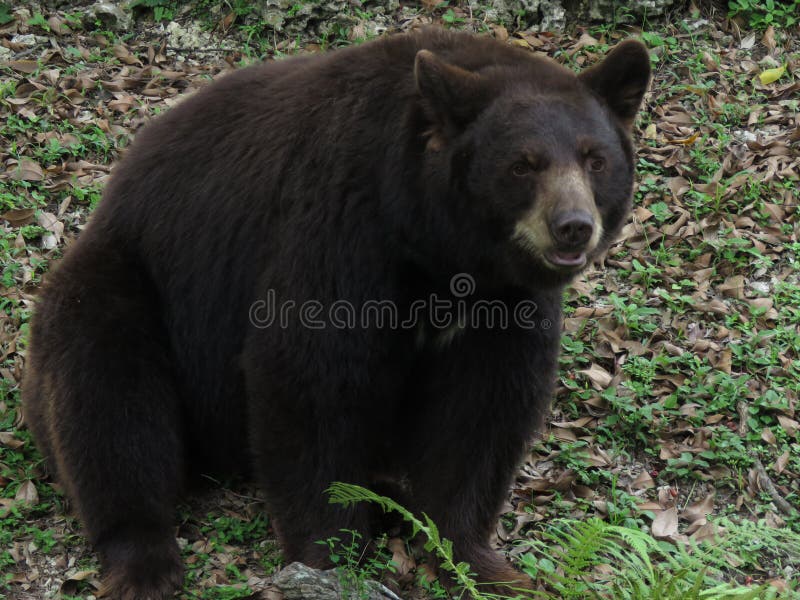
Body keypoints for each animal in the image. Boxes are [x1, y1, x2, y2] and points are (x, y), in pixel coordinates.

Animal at [22, 27, 650, 599]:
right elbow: (312, 375)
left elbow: (483, 406)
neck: (439, 248)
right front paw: (332, 553)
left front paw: (476, 559)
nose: (573, 226)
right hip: (128, 280)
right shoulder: (340, 222)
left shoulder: (505, 301)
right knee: (105, 395)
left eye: (595, 159)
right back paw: (144, 560)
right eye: (523, 165)